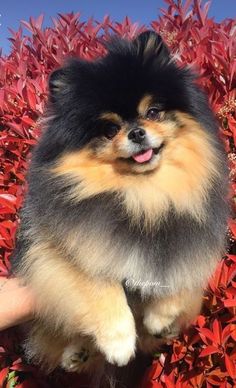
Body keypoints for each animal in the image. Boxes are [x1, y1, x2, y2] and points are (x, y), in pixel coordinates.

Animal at [11, 31, 229, 384]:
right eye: (110, 129)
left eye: (153, 112)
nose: (136, 132)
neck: (144, 195)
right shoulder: (65, 248)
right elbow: (99, 285)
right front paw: (119, 340)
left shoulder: (189, 241)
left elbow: (178, 279)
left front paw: (158, 319)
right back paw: (78, 353)